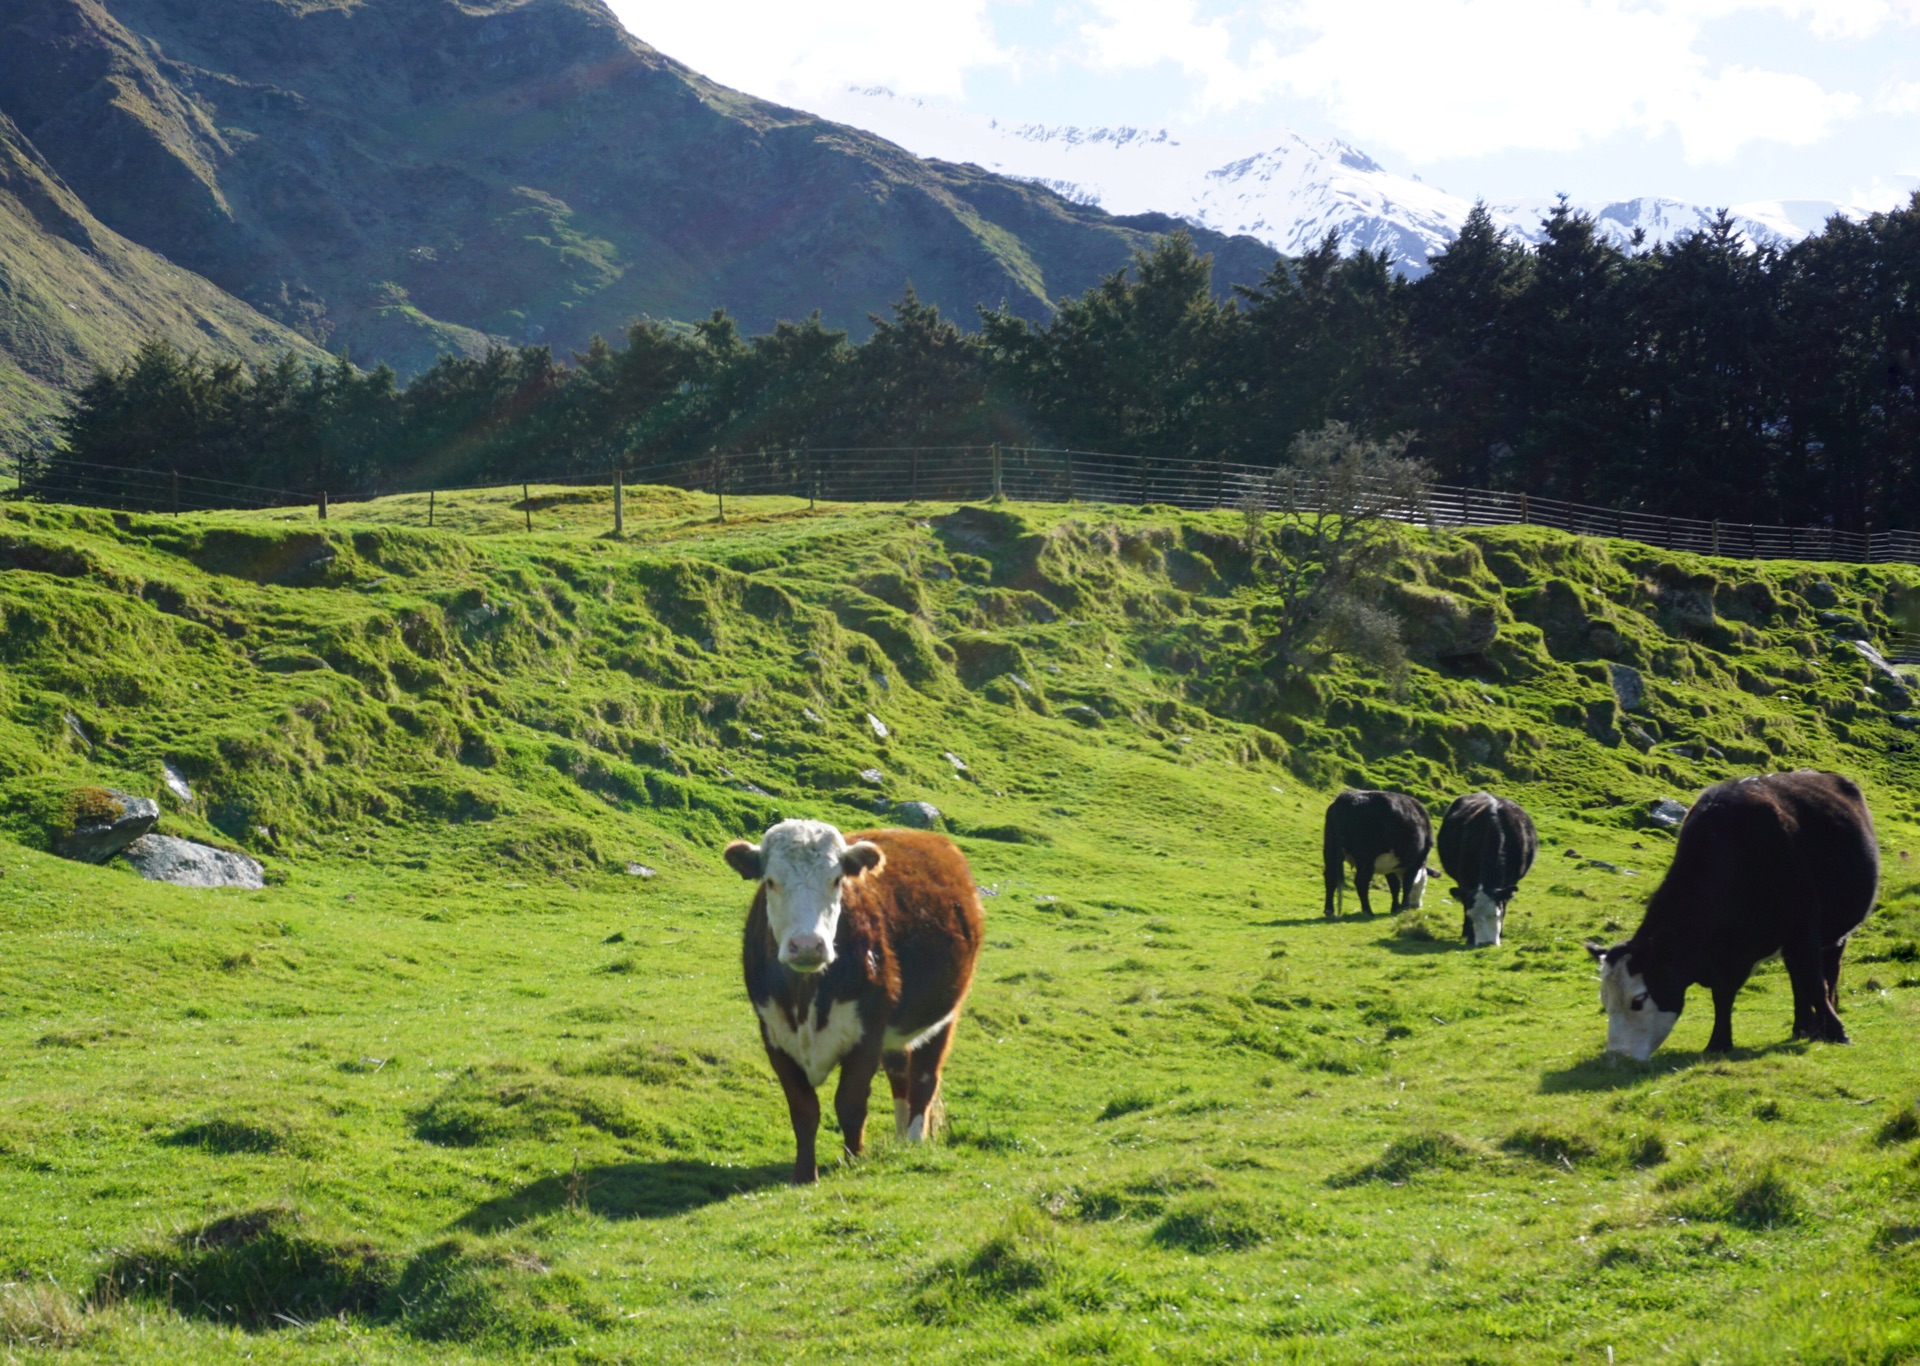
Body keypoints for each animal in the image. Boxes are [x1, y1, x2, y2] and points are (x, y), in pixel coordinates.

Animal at [721, 822, 983, 1183]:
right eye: (771, 881)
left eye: (836, 880)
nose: (807, 945)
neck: (806, 998)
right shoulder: (774, 1036)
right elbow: (803, 1109)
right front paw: (805, 1174)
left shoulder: (867, 1034)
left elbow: (850, 1104)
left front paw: (855, 1161)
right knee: (900, 1074)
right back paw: (900, 1141)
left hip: (943, 1016)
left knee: (924, 1078)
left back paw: (914, 1141)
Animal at [1443, 795, 1543, 945]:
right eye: (1471, 916)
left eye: (1496, 914)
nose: (1486, 943)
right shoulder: (1464, 879)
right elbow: (1466, 903)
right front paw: (1468, 934)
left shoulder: (1510, 882)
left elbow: (1505, 903)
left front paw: (1501, 933)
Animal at [1582, 776, 1881, 1060]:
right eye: (1605, 1001)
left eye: (1638, 1000)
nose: (1619, 1055)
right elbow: (1723, 997)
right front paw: (1719, 1042)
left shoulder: (1803, 929)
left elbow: (1815, 984)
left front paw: (1838, 1033)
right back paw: (1803, 1027)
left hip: (1834, 933)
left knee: (1828, 971)